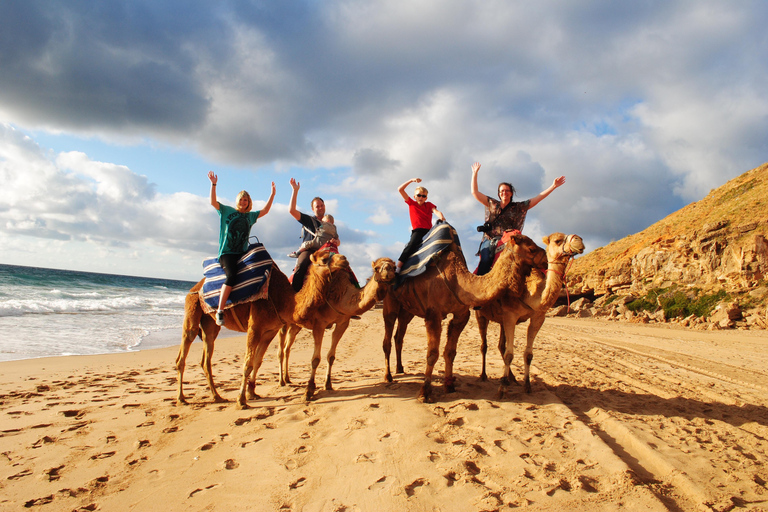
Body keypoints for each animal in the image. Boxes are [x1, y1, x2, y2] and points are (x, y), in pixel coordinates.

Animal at [174, 248, 344, 408]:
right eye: (324, 258)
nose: (344, 260)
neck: (283, 299)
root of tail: (195, 287)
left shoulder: (270, 331)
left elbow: (257, 361)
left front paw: (252, 393)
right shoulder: (254, 327)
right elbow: (247, 364)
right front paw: (241, 400)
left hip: (210, 325)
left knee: (206, 357)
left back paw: (217, 396)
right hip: (192, 308)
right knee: (183, 351)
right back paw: (181, 398)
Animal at [278, 256, 396, 400]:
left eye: (394, 266)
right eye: (376, 268)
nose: (389, 270)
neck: (340, 296)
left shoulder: (343, 323)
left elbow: (331, 356)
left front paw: (328, 384)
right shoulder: (319, 324)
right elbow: (315, 359)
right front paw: (309, 390)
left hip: (296, 325)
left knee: (287, 348)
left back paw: (287, 378)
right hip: (284, 320)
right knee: (281, 349)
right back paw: (281, 381)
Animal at [382, 232, 548, 404]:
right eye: (531, 248)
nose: (546, 259)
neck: (458, 281)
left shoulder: (461, 315)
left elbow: (450, 352)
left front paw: (449, 386)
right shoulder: (433, 314)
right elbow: (432, 354)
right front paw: (425, 392)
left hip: (407, 311)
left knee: (399, 337)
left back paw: (400, 368)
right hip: (390, 303)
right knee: (387, 338)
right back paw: (388, 376)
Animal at [474, 232, 584, 396]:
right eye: (558, 241)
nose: (579, 240)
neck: (530, 292)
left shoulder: (537, 317)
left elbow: (528, 355)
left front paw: (527, 385)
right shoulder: (510, 315)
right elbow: (509, 354)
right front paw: (502, 387)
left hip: (501, 320)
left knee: (500, 345)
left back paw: (512, 378)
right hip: (481, 315)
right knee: (484, 345)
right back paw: (483, 375)